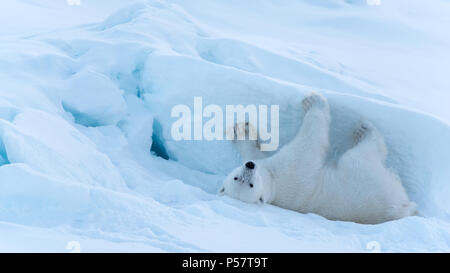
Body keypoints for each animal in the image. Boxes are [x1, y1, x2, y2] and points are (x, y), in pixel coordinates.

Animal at [220, 92, 416, 223]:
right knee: (361, 155)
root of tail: (402, 208)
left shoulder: (269, 167)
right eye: (249, 185)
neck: (272, 185)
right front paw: (314, 101)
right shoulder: (292, 169)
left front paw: (241, 130)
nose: (250, 166)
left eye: (236, 176)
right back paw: (364, 130)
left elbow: (254, 152)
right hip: (365, 177)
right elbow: (310, 142)